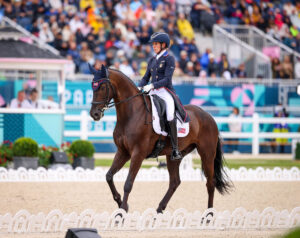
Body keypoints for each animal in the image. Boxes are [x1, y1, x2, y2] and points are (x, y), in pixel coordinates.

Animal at [88, 64, 230, 212]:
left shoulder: (138, 154)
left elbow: (128, 183)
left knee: (210, 182)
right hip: (174, 156)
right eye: (92, 85)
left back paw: (209, 214)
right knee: (175, 182)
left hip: (207, 153)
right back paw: (159, 209)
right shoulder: (123, 152)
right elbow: (109, 176)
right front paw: (119, 201)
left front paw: (122, 209)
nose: (94, 114)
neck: (132, 113)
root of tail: (209, 116)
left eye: (102, 87)